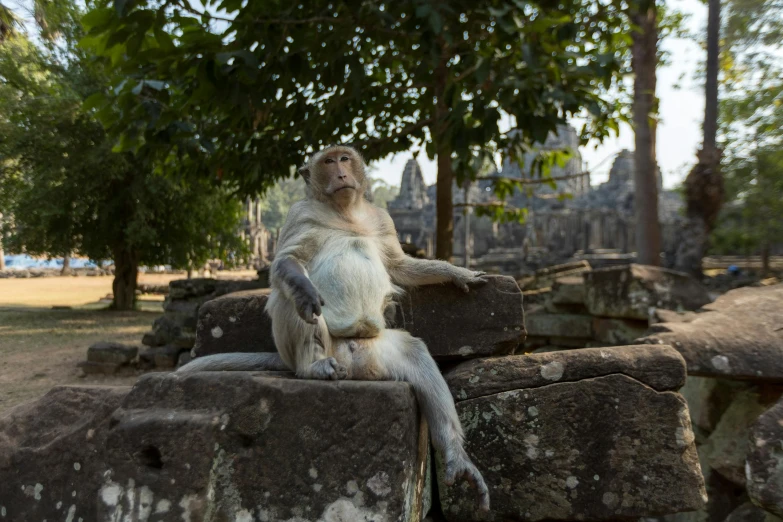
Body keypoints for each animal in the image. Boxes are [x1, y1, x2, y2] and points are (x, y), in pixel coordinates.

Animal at [181, 144, 494, 510]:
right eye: (329, 162)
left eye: (344, 159)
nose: (341, 173)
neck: (345, 212)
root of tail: (353, 364)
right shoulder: (299, 214)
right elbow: (285, 263)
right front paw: (304, 289)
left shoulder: (383, 220)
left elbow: (399, 265)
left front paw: (457, 273)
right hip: (314, 347)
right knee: (290, 300)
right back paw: (313, 364)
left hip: (378, 351)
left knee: (417, 355)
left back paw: (457, 458)